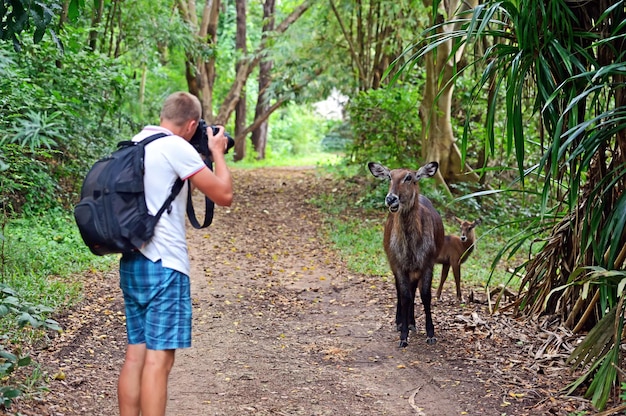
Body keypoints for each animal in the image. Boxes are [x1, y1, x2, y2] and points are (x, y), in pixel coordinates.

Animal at [366, 161, 444, 346]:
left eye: (409, 177)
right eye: (389, 176)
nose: (391, 199)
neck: (411, 246)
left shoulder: (427, 263)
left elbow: (425, 295)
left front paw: (430, 333)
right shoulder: (399, 264)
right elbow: (405, 296)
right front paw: (403, 336)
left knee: (413, 290)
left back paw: (411, 322)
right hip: (395, 264)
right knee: (400, 291)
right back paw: (401, 322)